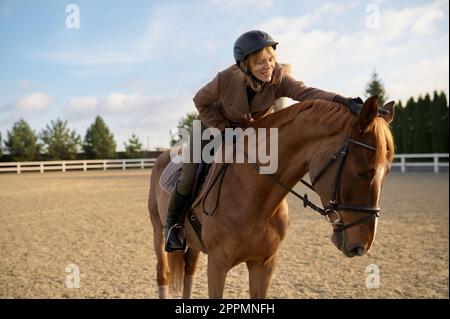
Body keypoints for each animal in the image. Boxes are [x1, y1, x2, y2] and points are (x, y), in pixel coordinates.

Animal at [147, 95, 394, 300]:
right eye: (363, 172)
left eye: (387, 172)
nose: (361, 245)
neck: (256, 195)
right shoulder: (217, 264)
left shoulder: (263, 265)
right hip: (158, 229)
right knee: (163, 273)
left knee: (188, 270)